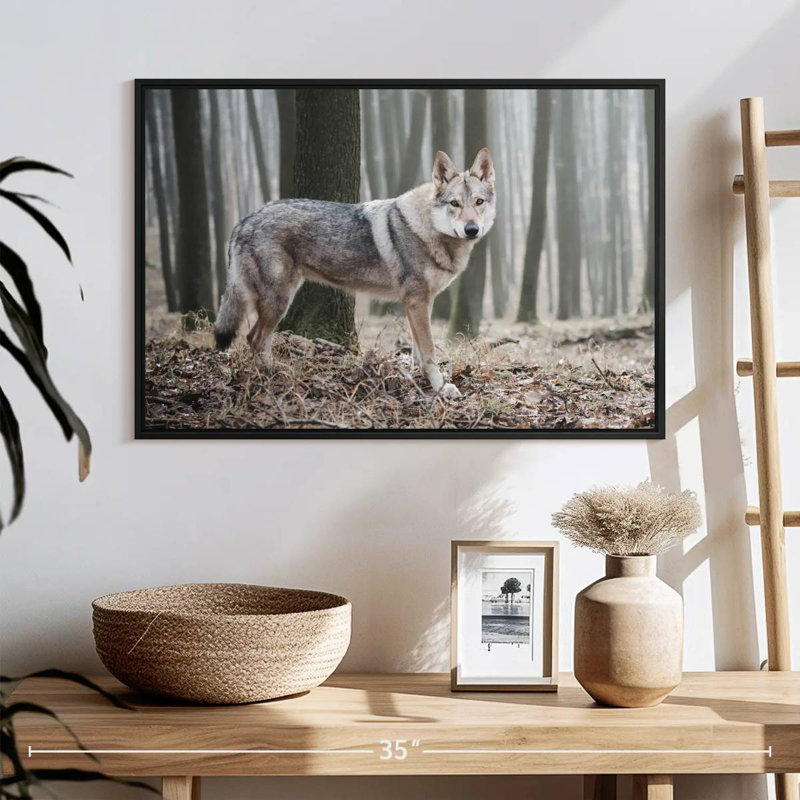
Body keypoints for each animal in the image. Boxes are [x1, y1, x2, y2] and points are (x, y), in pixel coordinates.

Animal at [214, 147, 495, 398]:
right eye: (454, 204)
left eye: (479, 202)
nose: (472, 229)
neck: (428, 230)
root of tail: (244, 221)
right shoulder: (416, 300)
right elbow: (429, 352)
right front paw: (441, 388)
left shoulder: (423, 302)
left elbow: (418, 351)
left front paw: (421, 381)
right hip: (279, 300)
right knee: (255, 338)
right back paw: (273, 375)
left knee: (255, 338)